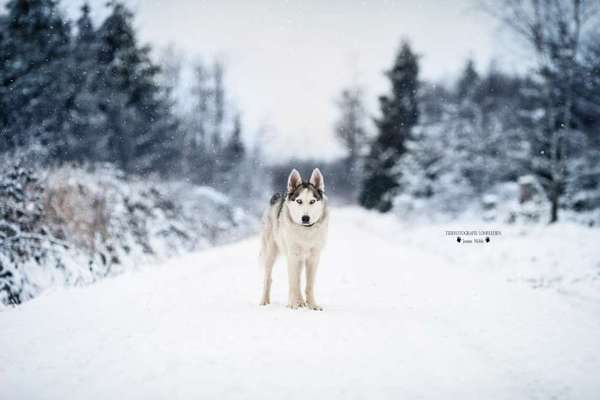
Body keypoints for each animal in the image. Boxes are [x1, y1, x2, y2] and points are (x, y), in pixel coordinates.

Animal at [260, 168, 330, 310]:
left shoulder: (313, 258)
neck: (306, 231)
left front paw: (312, 305)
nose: (305, 218)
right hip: (271, 254)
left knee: (298, 279)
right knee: (268, 279)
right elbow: (293, 283)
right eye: (299, 201)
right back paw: (264, 301)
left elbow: (309, 285)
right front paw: (293, 305)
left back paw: (301, 302)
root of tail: (279, 195)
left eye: (312, 201)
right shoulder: (293, 256)